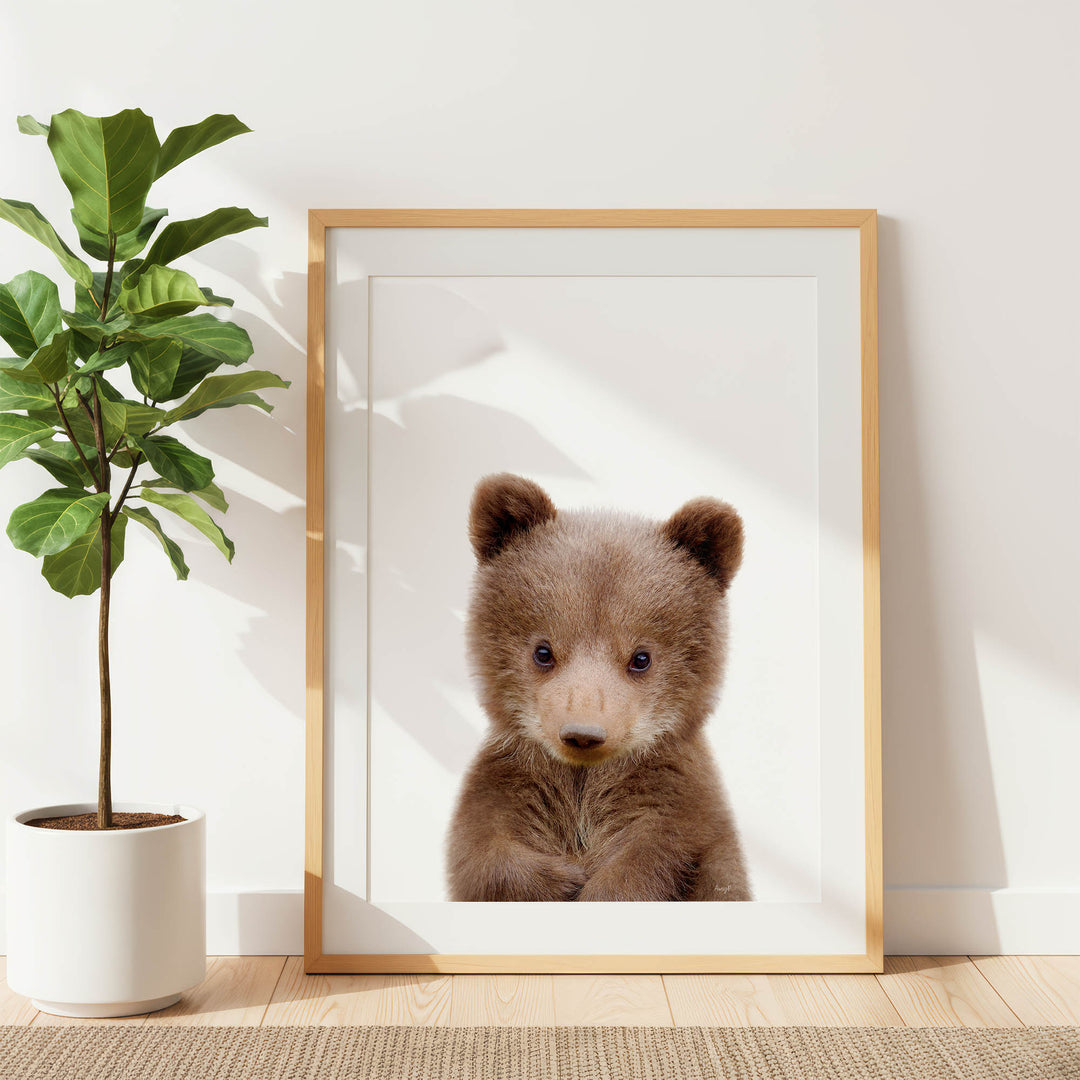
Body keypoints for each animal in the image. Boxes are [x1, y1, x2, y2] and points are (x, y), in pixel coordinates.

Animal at [446, 473, 752, 902]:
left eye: (641, 657)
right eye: (543, 651)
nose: (583, 734)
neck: (583, 781)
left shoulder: (674, 801)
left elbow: (656, 856)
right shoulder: (510, 782)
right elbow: (482, 851)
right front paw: (564, 880)